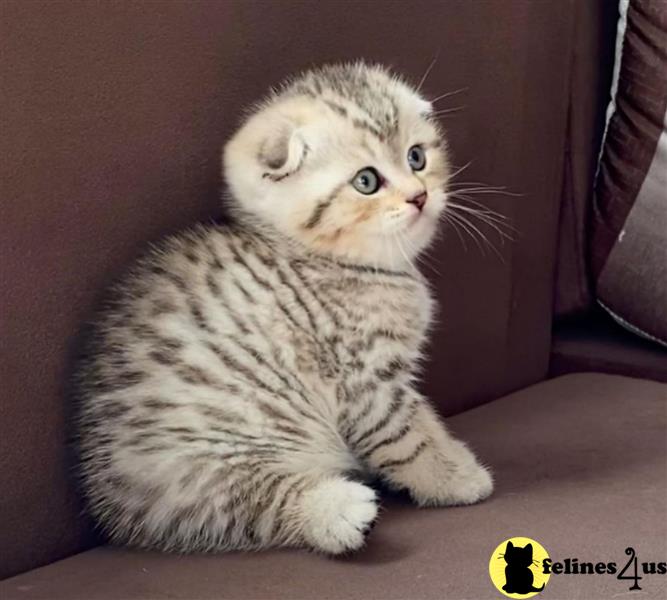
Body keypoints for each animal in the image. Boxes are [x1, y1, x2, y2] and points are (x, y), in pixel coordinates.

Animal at [75, 61, 494, 552]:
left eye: (416, 158)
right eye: (366, 181)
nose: (419, 195)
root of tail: (114, 512)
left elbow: (426, 420)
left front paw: (455, 457)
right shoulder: (364, 381)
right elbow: (410, 438)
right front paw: (457, 479)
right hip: (207, 466)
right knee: (260, 504)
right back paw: (338, 512)